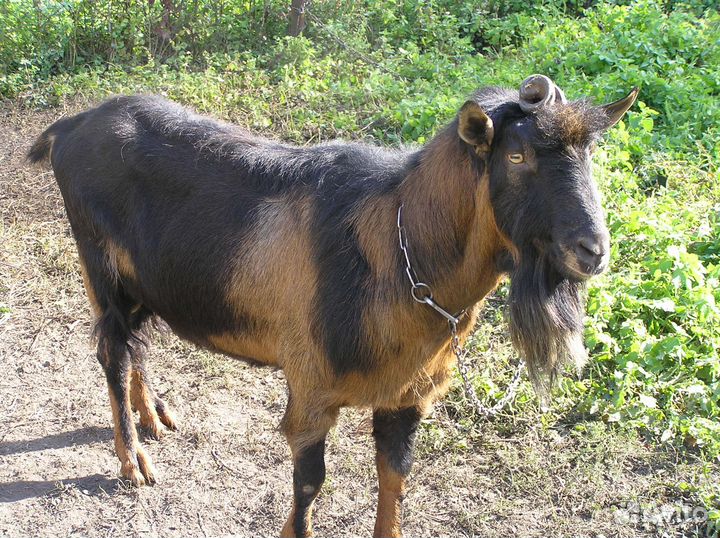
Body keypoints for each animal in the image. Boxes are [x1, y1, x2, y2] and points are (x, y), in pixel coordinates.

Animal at [28, 75, 637, 537]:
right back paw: (133, 462)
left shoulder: (407, 397)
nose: (593, 250)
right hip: (100, 267)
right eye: (517, 154)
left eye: (590, 154)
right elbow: (309, 484)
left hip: (138, 283)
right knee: (113, 352)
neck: (399, 248)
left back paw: (154, 416)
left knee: (135, 344)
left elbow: (395, 479)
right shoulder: (312, 389)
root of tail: (70, 128)